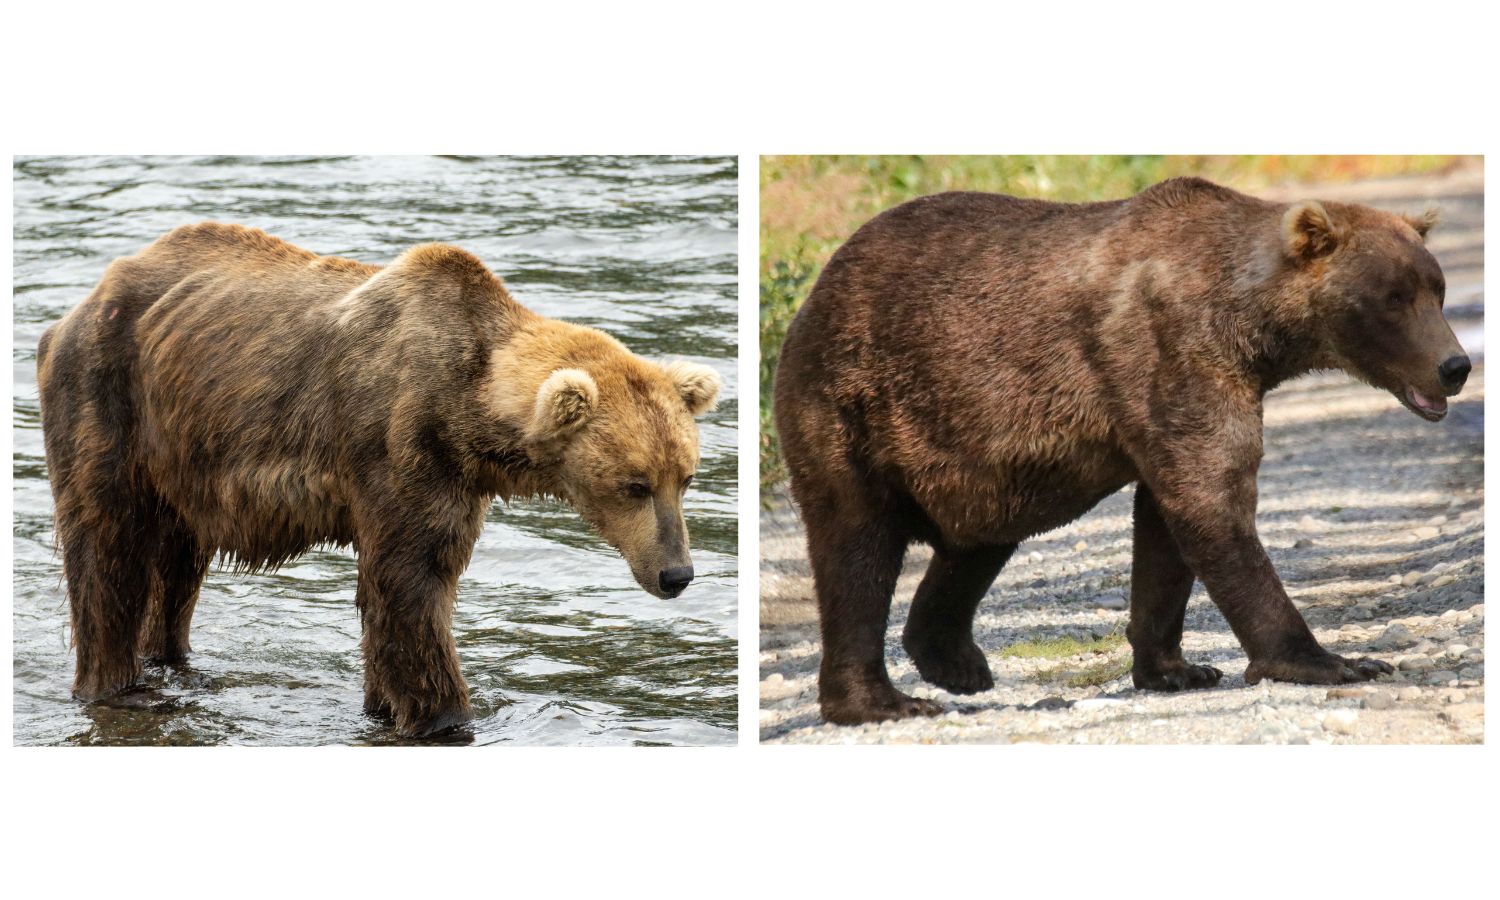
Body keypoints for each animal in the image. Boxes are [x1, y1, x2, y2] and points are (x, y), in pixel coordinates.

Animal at [37, 222, 720, 737]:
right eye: (634, 484)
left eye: (684, 477)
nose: (677, 574)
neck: (469, 410)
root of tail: (83, 300)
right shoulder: (400, 444)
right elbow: (408, 588)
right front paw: (447, 714)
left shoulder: (457, 478)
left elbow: (406, 592)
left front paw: (382, 704)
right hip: (108, 399)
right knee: (108, 551)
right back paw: (118, 687)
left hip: (180, 455)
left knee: (178, 562)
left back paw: (175, 665)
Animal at [773, 177, 1469, 725]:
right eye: (1392, 297)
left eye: (1435, 289)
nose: (1455, 365)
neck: (1248, 324)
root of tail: (816, 289)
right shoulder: (1174, 352)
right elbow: (1213, 499)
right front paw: (1333, 660)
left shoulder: (1180, 392)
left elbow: (1167, 525)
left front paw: (1177, 668)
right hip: (856, 406)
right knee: (856, 548)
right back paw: (882, 700)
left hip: (977, 457)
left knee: (978, 540)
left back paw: (955, 661)